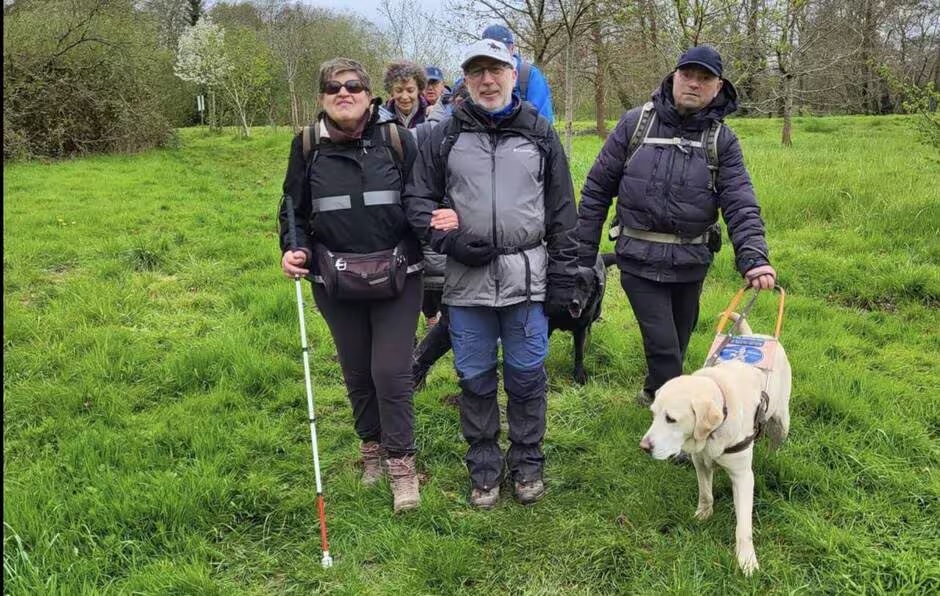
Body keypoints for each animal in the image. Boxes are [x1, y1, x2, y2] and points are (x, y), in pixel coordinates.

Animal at [548, 253, 620, 384]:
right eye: (566, 283)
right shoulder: (548, 325)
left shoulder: (580, 330)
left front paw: (579, 375)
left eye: (584, 285)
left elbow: (579, 353)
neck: (566, 314)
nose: (574, 304)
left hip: (597, 311)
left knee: (590, 327)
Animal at [640, 314, 792, 576]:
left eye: (671, 419)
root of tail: (760, 336)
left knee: (775, 442)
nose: (644, 446)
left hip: (782, 421)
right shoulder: (700, 463)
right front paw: (703, 514)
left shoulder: (743, 477)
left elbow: (743, 527)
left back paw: (772, 458)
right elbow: (705, 493)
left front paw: (747, 560)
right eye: (653, 414)